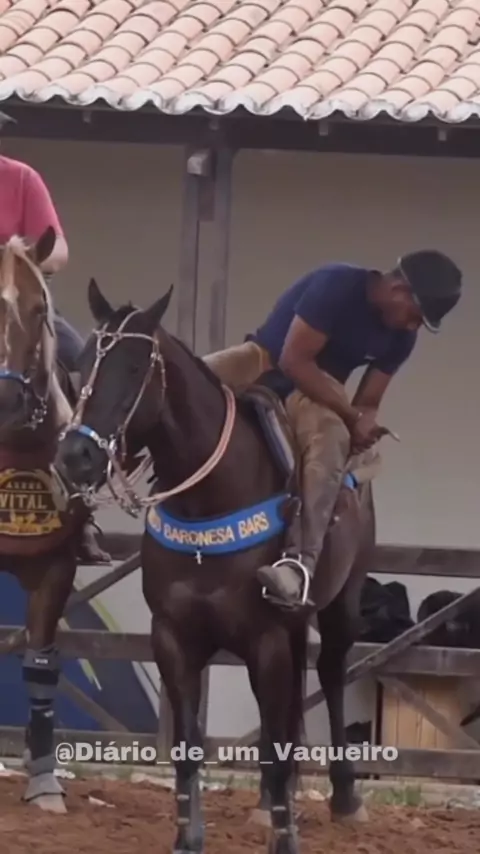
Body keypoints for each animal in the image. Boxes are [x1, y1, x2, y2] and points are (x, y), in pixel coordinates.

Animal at [54, 280, 377, 854]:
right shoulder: (174, 638)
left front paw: (287, 839)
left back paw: (344, 798)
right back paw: (268, 806)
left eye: (134, 367)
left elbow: (274, 749)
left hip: (341, 604)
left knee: (331, 677)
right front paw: (190, 839)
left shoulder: (265, 640)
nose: (76, 456)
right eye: (82, 361)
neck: (208, 501)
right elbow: (189, 747)